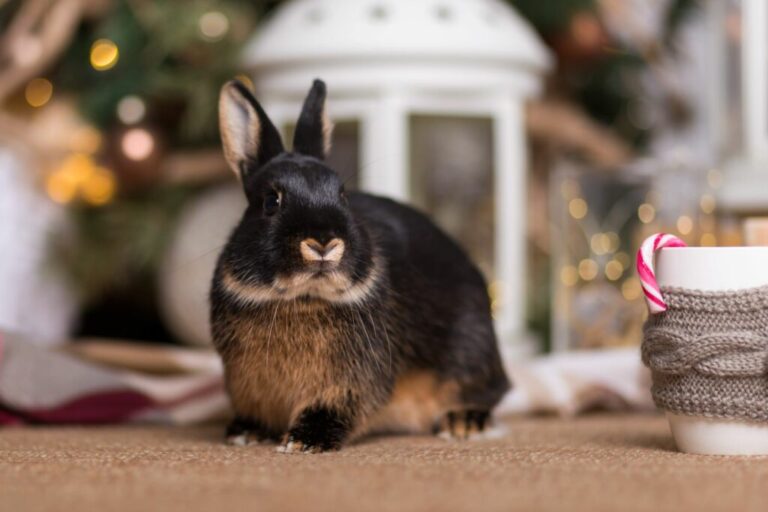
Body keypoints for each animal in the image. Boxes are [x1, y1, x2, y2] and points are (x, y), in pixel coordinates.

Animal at [210, 77, 510, 452]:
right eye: (271, 201)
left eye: (342, 195)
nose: (323, 243)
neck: (303, 298)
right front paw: (244, 433)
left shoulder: (351, 382)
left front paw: (304, 442)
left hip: (470, 351)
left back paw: (463, 423)